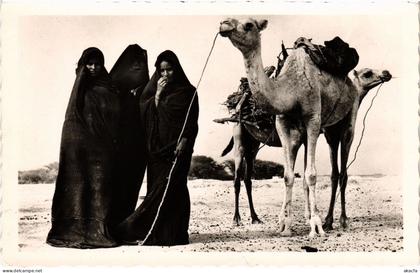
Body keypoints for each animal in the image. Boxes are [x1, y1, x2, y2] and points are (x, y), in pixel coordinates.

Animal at [218, 18, 360, 237]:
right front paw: (285, 226)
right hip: (246, 139)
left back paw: (341, 221)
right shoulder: (283, 124)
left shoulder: (313, 120)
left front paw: (315, 226)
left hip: (348, 119)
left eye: (249, 24)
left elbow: (310, 175)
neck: (291, 90)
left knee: (343, 167)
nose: (224, 24)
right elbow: (287, 175)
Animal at [221, 67, 392, 227]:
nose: (387, 73)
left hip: (253, 144)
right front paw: (324, 219)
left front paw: (331, 219)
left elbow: (335, 175)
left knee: (248, 177)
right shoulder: (328, 136)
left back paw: (255, 218)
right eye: (368, 73)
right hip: (239, 137)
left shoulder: (335, 137)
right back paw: (236, 219)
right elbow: (330, 175)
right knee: (237, 177)